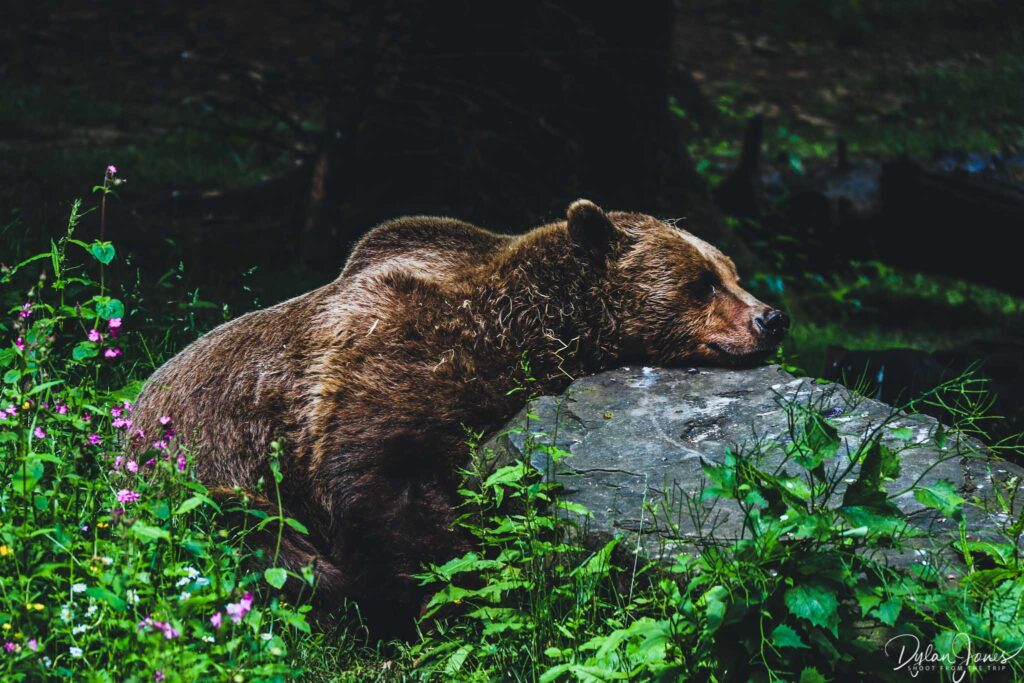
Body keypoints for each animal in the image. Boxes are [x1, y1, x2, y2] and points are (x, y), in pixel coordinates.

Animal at [131, 199, 788, 635]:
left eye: (732, 272)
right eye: (701, 284)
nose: (771, 318)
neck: (524, 329)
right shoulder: (390, 351)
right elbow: (384, 482)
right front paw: (437, 587)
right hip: (195, 467)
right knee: (252, 533)